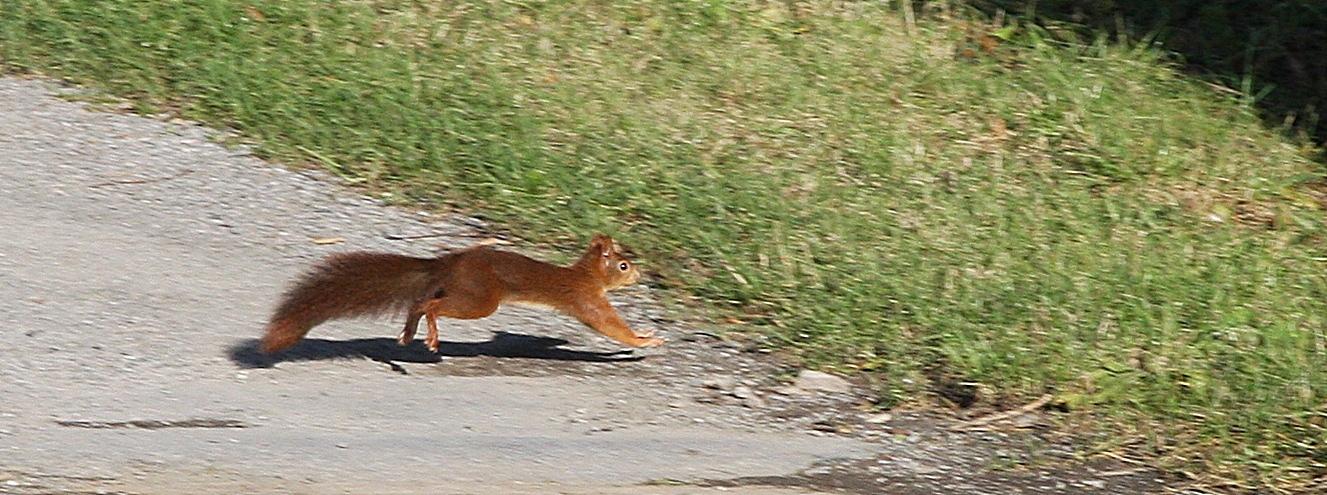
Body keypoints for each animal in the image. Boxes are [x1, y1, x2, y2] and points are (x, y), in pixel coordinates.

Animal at [258, 233, 663, 353]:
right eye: (623, 265)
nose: (640, 274)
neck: (586, 275)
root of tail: (449, 264)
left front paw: (646, 333)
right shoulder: (587, 299)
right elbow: (610, 326)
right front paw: (646, 340)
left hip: (460, 292)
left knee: (418, 303)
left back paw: (408, 334)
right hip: (479, 299)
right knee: (430, 304)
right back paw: (430, 336)